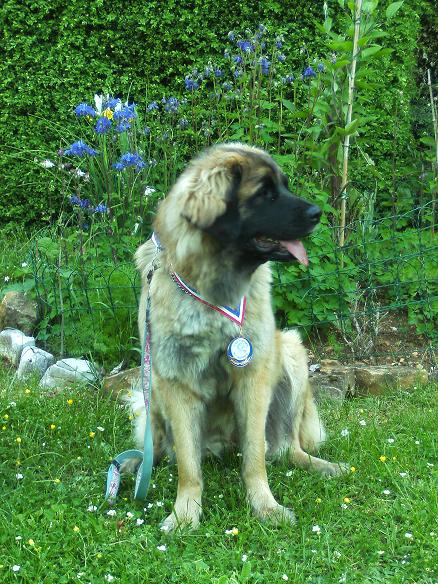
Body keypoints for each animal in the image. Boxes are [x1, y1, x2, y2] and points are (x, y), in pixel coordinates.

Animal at [128, 144, 348, 532]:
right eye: (265, 194)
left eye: (284, 187)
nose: (318, 213)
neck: (213, 293)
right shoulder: (176, 381)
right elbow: (188, 465)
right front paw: (185, 514)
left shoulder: (254, 376)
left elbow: (255, 456)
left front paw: (265, 506)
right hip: (150, 385)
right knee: (158, 444)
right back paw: (136, 464)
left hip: (290, 353)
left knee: (288, 447)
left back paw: (324, 467)